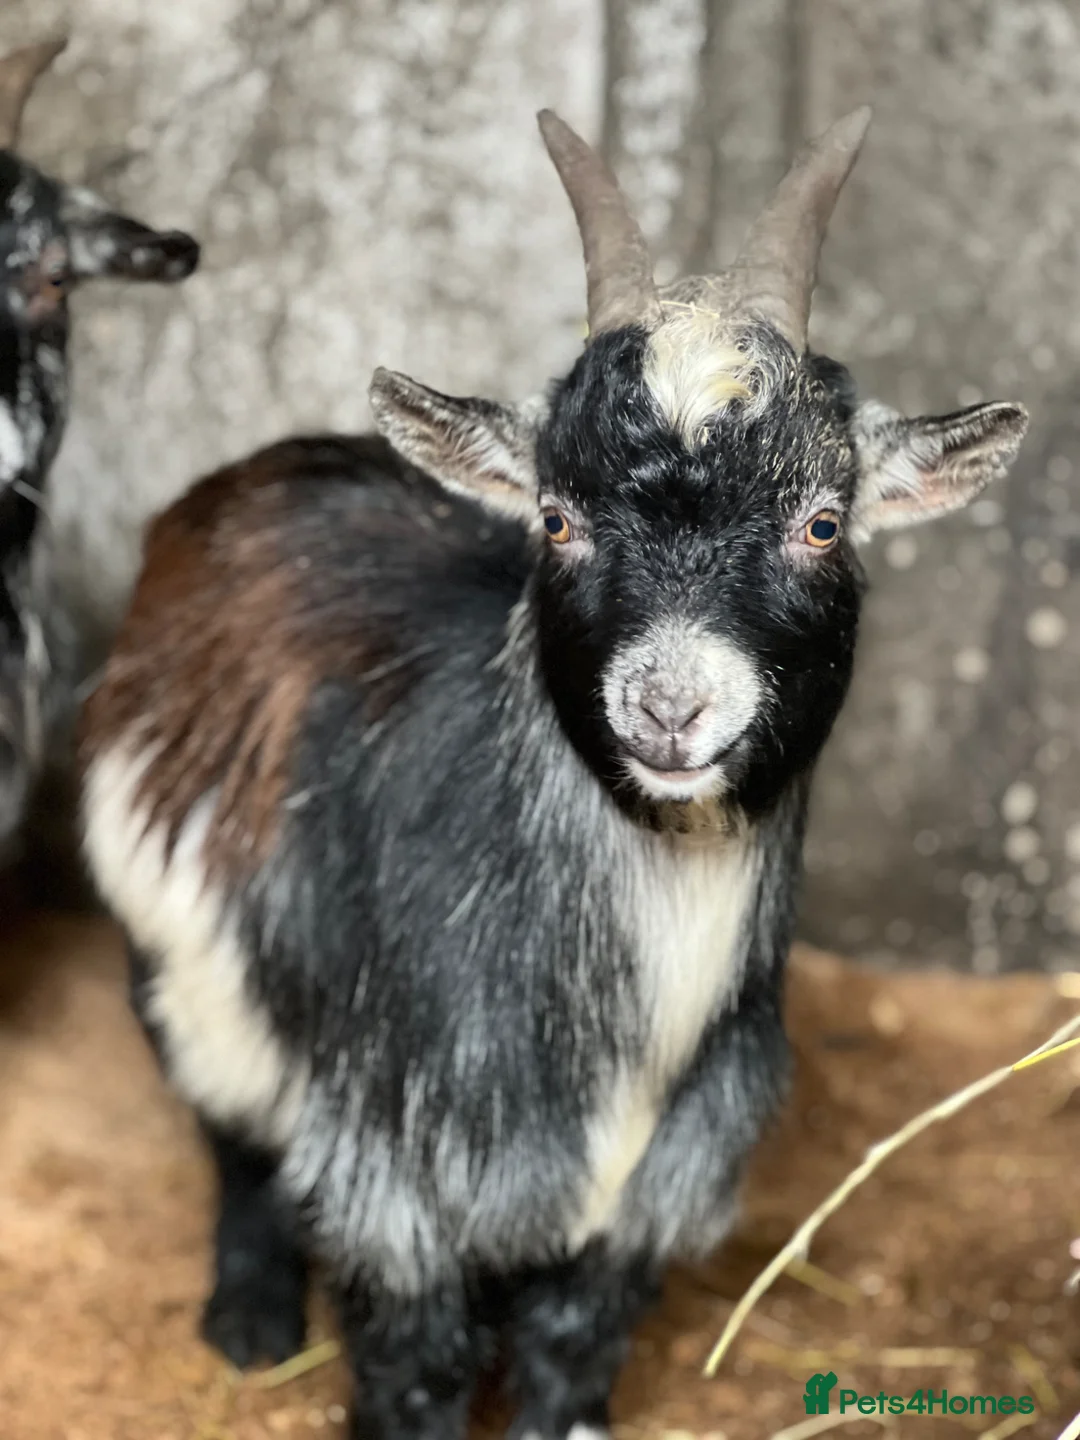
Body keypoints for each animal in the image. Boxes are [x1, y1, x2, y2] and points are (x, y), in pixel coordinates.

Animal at [80, 108, 1027, 1440]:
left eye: (825, 522)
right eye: (558, 517)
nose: (670, 708)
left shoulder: (650, 1190)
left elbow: (571, 1353)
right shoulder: (394, 1170)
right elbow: (414, 1367)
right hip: (177, 963)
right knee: (232, 1136)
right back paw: (253, 1322)